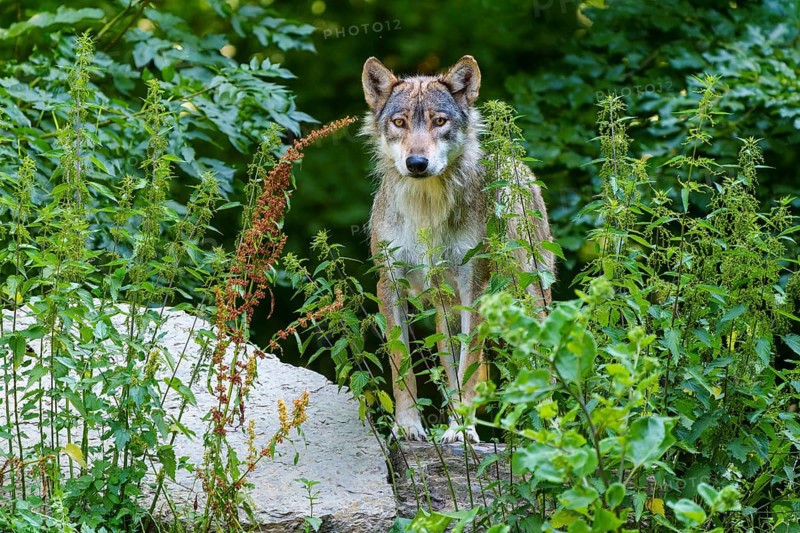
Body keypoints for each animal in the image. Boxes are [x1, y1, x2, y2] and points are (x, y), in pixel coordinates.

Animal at [361, 55, 555, 443]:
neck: (426, 210)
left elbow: (469, 367)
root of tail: (519, 168)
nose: (416, 163)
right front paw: (407, 427)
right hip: (444, 316)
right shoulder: (389, 285)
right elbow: (402, 367)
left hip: (530, 300)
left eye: (439, 121)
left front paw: (462, 432)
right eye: (400, 122)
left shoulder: (474, 287)